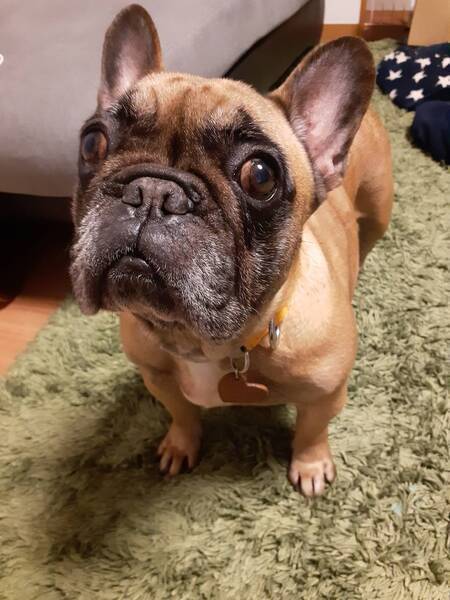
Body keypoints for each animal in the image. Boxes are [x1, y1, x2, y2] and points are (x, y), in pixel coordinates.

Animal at [70, 4, 393, 497]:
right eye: (93, 142)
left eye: (260, 176)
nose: (153, 191)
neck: (204, 344)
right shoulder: (156, 375)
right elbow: (181, 412)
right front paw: (180, 444)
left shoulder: (327, 393)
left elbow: (313, 428)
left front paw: (311, 464)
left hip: (378, 209)